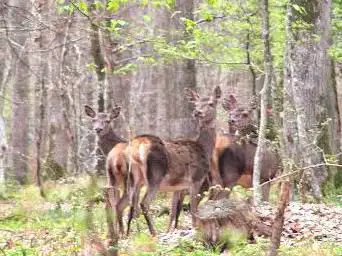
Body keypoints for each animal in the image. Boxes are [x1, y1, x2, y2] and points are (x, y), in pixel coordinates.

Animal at [123, 86, 222, 236]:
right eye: (196, 104)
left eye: (211, 103)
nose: (197, 112)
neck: (204, 149)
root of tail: (137, 144)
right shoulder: (196, 179)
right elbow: (193, 211)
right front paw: (195, 229)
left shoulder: (177, 187)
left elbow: (173, 212)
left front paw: (170, 230)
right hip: (155, 175)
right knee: (144, 203)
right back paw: (153, 233)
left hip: (134, 177)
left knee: (131, 206)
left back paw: (128, 235)